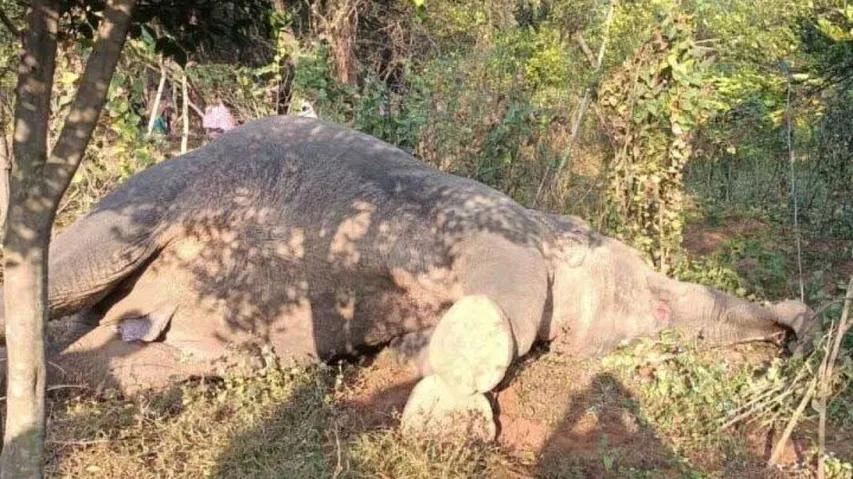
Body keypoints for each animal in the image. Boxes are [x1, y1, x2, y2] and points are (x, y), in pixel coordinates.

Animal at [0, 116, 815, 440]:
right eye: (654, 298)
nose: (793, 325)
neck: (555, 229)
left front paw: (411, 369)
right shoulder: (481, 218)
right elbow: (505, 297)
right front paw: (446, 417)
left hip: (177, 345)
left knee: (128, 363)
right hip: (152, 197)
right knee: (75, 271)